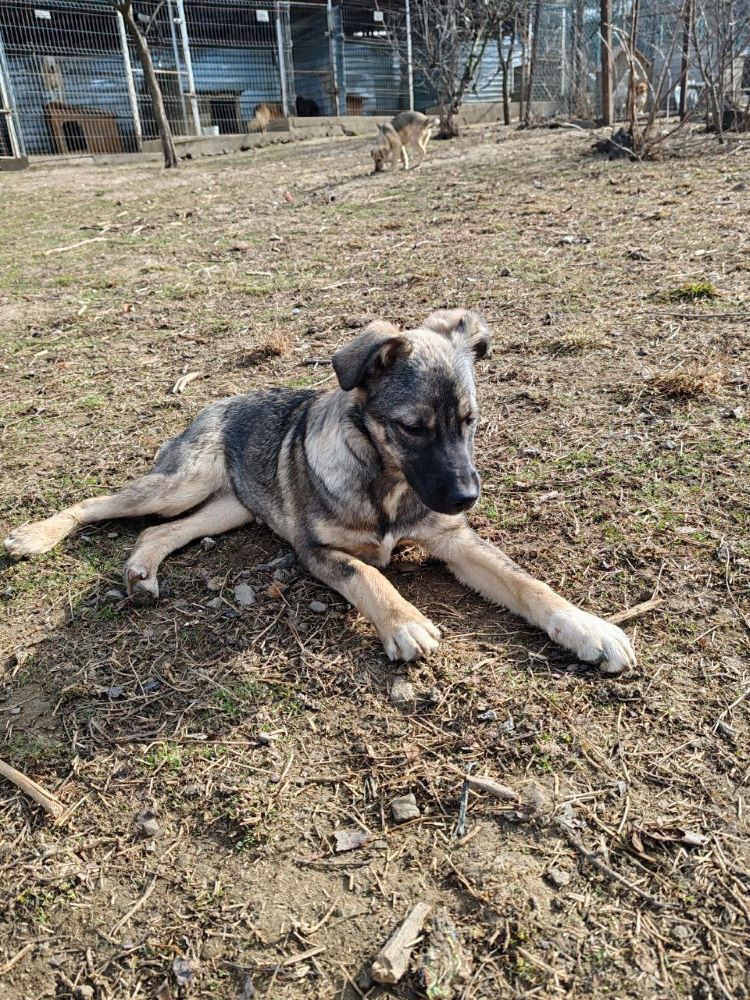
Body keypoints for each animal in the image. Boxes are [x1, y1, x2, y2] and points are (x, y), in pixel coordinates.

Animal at [4, 308, 640, 676]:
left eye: (469, 420)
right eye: (413, 427)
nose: (466, 498)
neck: (384, 480)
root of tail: (216, 401)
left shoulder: (454, 540)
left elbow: (528, 583)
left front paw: (590, 628)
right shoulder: (316, 553)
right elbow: (371, 577)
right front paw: (404, 622)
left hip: (229, 509)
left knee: (161, 532)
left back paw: (141, 571)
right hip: (183, 483)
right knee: (101, 504)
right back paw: (34, 536)